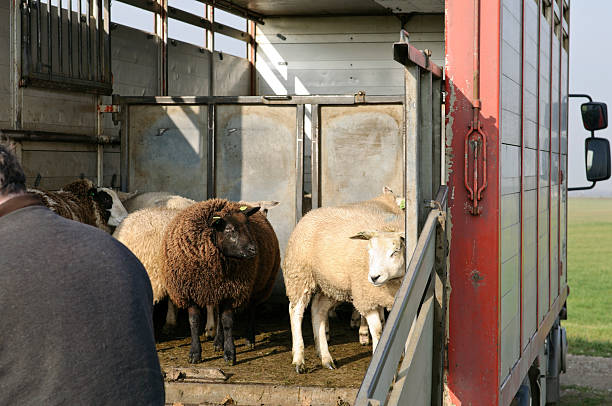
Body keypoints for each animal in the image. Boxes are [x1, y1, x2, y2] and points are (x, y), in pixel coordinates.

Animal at [160, 199, 280, 364]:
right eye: (229, 229)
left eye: (248, 226)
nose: (253, 250)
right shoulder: (190, 292)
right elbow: (194, 322)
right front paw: (195, 353)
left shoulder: (231, 291)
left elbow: (227, 322)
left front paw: (229, 354)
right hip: (218, 290)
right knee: (218, 314)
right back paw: (218, 342)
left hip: (257, 286)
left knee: (251, 310)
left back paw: (249, 339)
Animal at [284, 189, 412, 372]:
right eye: (369, 251)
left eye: (395, 251)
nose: (374, 277)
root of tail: (309, 214)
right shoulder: (366, 297)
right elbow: (378, 330)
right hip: (300, 275)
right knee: (296, 312)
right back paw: (299, 359)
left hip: (330, 285)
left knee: (318, 310)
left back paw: (326, 358)